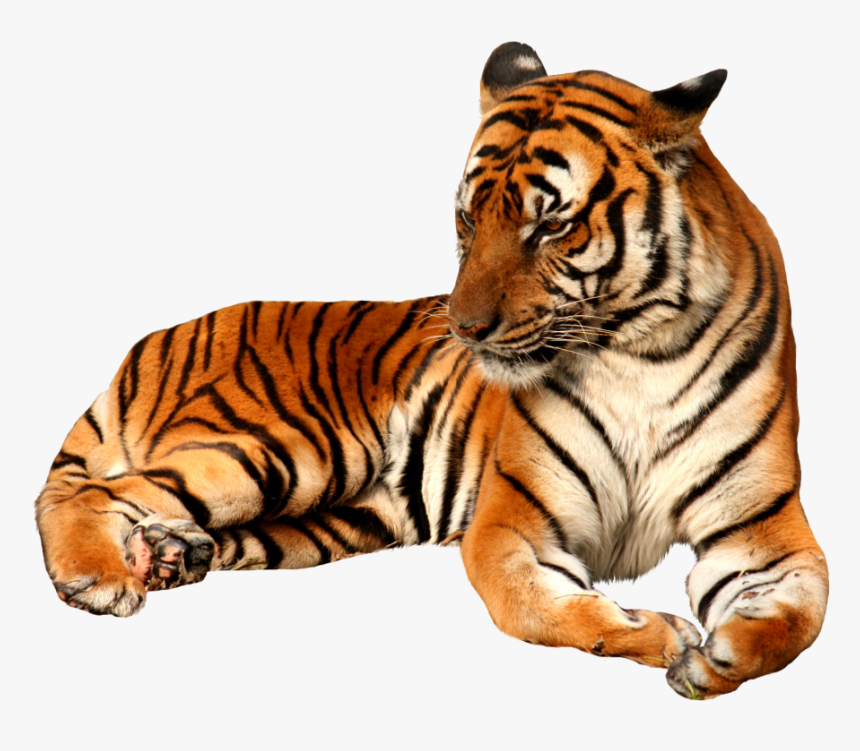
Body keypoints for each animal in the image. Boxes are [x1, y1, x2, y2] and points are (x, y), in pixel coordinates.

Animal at [35, 41, 828, 699]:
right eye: (468, 220)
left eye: (551, 225)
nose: (465, 328)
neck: (638, 352)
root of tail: (153, 340)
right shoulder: (513, 521)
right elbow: (536, 608)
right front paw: (661, 635)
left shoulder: (762, 525)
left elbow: (804, 616)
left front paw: (718, 658)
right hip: (286, 448)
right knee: (89, 492)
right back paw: (98, 578)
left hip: (332, 518)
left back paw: (170, 554)